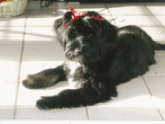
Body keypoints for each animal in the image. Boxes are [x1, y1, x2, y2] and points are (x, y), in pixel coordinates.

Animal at [22, 7, 165, 109]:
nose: (78, 51)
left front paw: (47, 100)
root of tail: (149, 38)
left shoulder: (98, 90)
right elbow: (52, 71)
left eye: (91, 35)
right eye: (73, 33)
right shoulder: (68, 65)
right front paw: (32, 80)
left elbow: (69, 93)